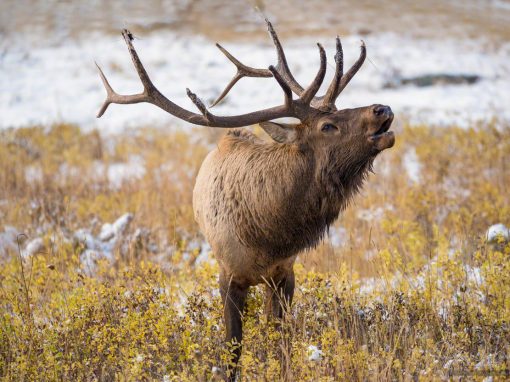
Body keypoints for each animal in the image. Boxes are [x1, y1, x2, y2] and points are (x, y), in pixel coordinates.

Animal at [97, 20, 396, 380]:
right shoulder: (228, 275)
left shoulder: (284, 273)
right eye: (328, 125)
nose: (383, 108)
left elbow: (279, 341)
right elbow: (233, 350)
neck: (269, 235)